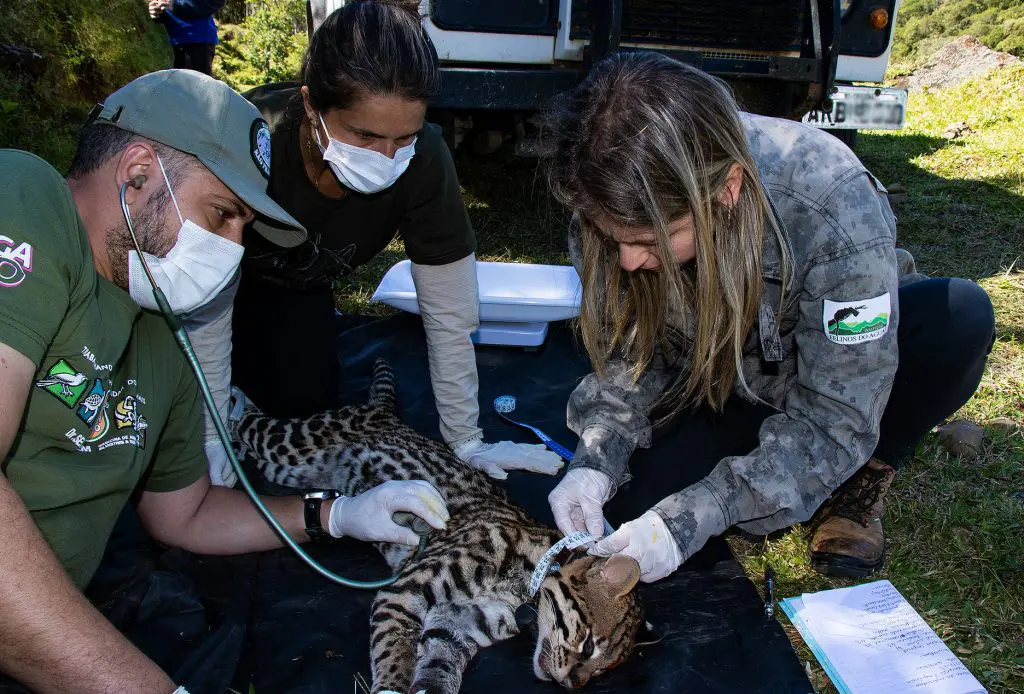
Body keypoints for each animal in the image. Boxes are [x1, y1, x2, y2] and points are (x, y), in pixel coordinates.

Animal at [235, 362, 643, 691]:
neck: (526, 584)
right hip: (291, 441)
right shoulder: (401, 592)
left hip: (291, 470)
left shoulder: (455, 628)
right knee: (251, 423)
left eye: (602, 671)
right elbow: (394, 650)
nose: (574, 685)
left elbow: (437, 668)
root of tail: (381, 412)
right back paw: (232, 405)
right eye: (588, 645)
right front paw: (391, 686)